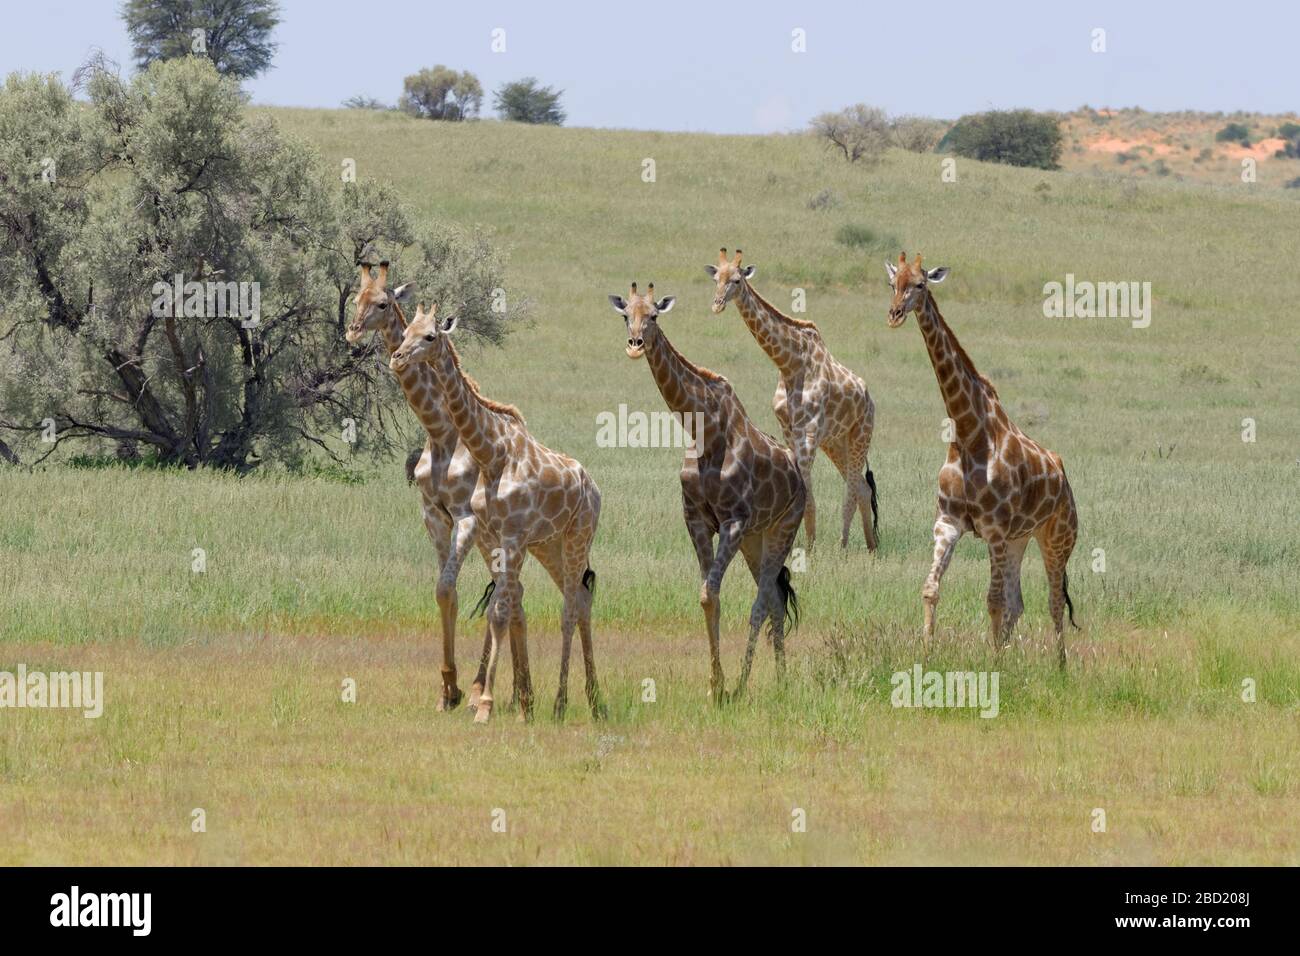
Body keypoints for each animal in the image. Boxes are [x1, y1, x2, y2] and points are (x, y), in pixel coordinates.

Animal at [345, 260, 501, 712]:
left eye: (383, 302)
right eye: (355, 298)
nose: (351, 333)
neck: (441, 431)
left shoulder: (465, 517)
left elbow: (447, 589)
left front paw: (458, 688)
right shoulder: (434, 516)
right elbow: (445, 594)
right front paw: (447, 688)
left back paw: (482, 690)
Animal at [390, 303, 603, 723]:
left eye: (430, 336)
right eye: (405, 333)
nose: (398, 358)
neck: (490, 453)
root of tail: (593, 488)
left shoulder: (511, 535)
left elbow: (501, 611)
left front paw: (485, 705)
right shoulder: (493, 535)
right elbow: (499, 608)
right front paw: (505, 701)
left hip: (577, 538)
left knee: (569, 609)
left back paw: (561, 704)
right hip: (550, 545)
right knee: (580, 600)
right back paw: (592, 703)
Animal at [605, 280, 800, 697]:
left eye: (654, 316)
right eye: (626, 314)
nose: (635, 344)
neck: (704, 430)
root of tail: (798, 475)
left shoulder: (732, 522)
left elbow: (710, 594)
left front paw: (722, 687)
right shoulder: (696, 520)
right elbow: (710, 597)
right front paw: (715, 685)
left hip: (782, 529)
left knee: (763, 601)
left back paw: (748, 685)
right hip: (755, 540)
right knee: (775, 599)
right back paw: (780, 681)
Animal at [707, 244, 878, 554]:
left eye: (736, 280)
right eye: (716, 278)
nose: (717, 304)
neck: (789, 363)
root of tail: (868, 398)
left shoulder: (808, 433)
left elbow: (808, 494)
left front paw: (809, 547)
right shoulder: (789, 431)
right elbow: (801, 490)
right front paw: (798, 543)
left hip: (860, 434)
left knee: (851, 488)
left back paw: (843, 545)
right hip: (835, 442)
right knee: (862, 485)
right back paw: (871, 547)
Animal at [883, 252, 1076, 665]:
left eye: (920, 284)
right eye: (892, 283)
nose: (894, 314)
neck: (970, 435)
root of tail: (1062, 475)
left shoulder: (994, 530)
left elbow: (993, 601)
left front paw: (994, 663)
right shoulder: (948, 523)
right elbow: (931, 589)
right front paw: (928, 654)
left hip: (1057, 538)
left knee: (1053, 602)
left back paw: (1060, 666)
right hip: (1021, 538)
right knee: (1019, 602)